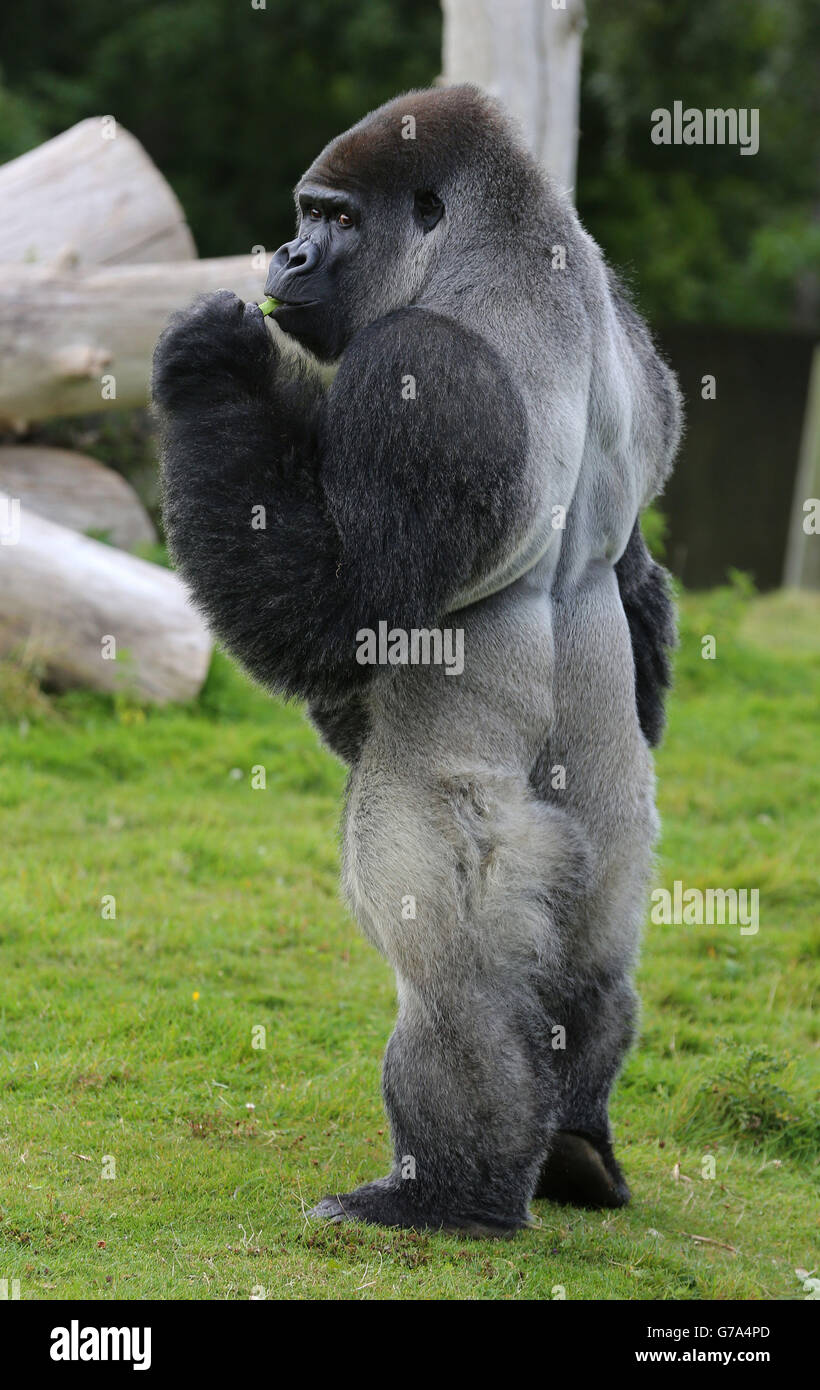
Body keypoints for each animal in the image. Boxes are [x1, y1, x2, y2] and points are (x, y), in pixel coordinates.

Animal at [154, 84, 681, 1239]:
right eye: (307, 214)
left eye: (337, 218)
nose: (290, 254)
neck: (507, 247)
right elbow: (628, 568)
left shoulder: (416, 373)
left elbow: (341, 613)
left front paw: (216, 363)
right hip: (622, 834)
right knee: (594, 967)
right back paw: (579, 1151)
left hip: (463, 833)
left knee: (454, 992)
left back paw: (448, 1192)